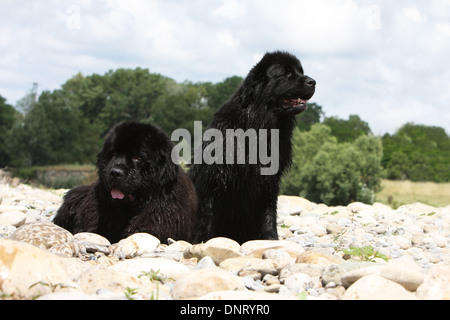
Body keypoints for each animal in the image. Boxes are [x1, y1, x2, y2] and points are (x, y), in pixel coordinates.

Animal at [190, 51, 316, 244]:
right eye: (287, 74)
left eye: (301, 71)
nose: (313, 81)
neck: (260, 125)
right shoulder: (215, 177)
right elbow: (207, 212)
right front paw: (201, 242)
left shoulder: (269, 181)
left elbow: (269, 212)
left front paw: (271, 239)